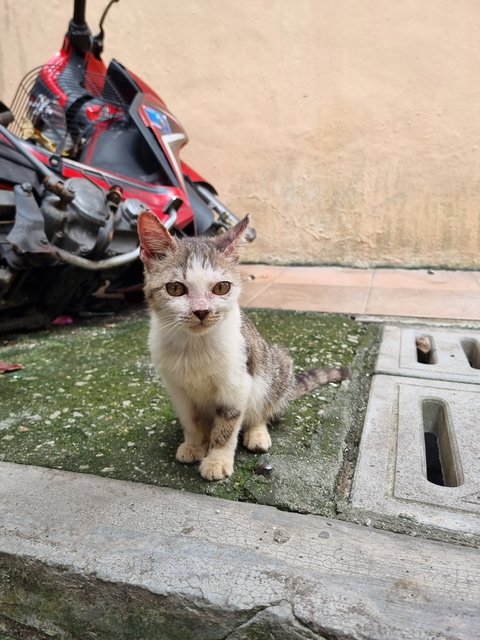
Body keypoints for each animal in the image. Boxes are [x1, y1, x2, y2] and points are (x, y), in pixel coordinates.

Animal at [139, 212, 348, 482]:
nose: (201, 311)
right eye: (175, 288)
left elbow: (227, 424)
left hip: (275, 364)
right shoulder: (176, 388)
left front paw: (217, 460)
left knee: (262, 409)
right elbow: (191, 419)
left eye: (221, 287)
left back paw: (257, 433)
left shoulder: (237, 383)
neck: (194, 345)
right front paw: (194, 444)